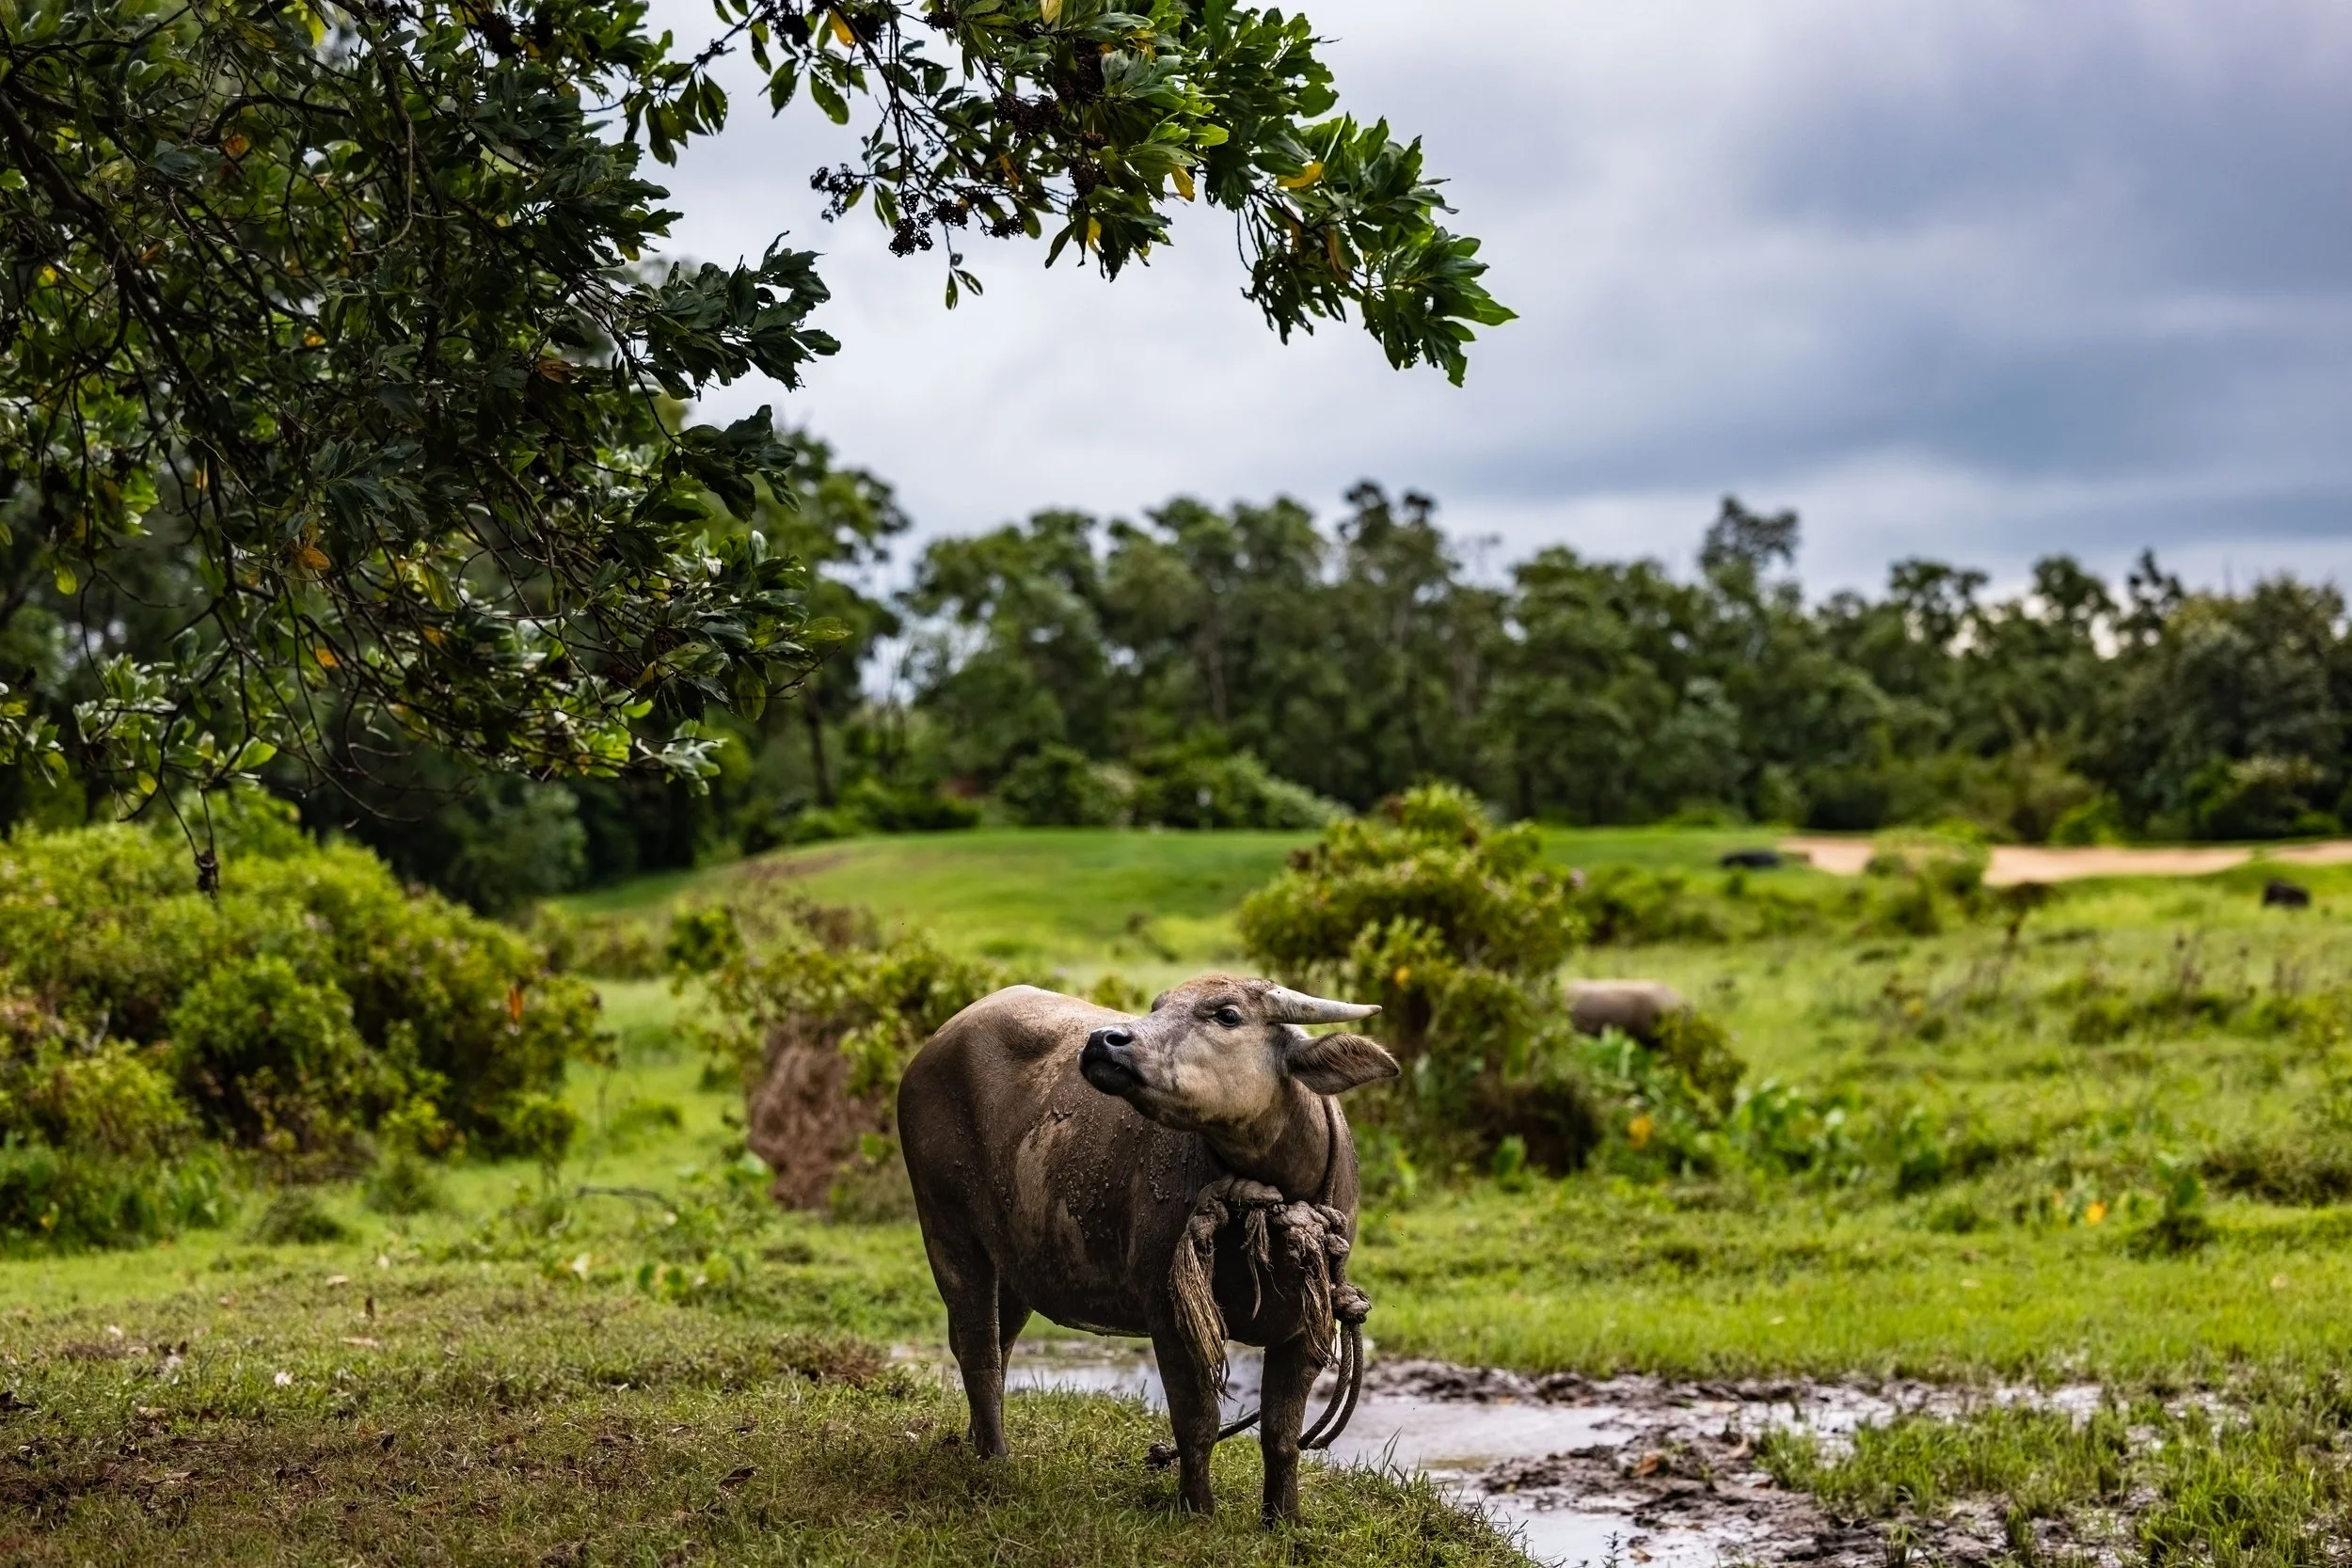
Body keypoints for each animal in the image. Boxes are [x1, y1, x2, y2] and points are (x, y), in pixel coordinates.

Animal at [896, 974, 1397, 1524]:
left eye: (1227, 1015)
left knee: (999, 1342)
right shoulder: (1171, 1313)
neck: (1268, 1204)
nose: (1104, 1041)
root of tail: (936, 1045)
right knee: (978, 1347)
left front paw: (1283, 1521)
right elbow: (1197, 1422)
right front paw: (1198, 1511)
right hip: (947, 1229)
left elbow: (1281, 1435)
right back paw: (995, 1460)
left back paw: (975, 1442)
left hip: (1014, 1262)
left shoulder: (1308, 1324)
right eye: (1158, 1007)